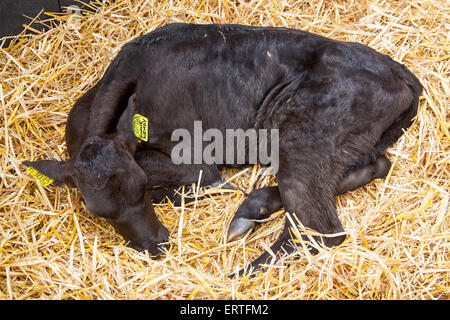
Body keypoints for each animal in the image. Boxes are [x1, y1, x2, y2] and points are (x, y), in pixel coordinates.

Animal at [24, 23, 424, 276]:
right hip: (352, 144)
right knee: (375, 168)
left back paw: (238, 272)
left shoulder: (194, 154)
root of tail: (399, 72)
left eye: (139, 188)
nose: (155, 243)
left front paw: (195, 191)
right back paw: (251, 209)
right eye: (96, 211)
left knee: (318, 228)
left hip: (301, 136)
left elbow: (196, 176)